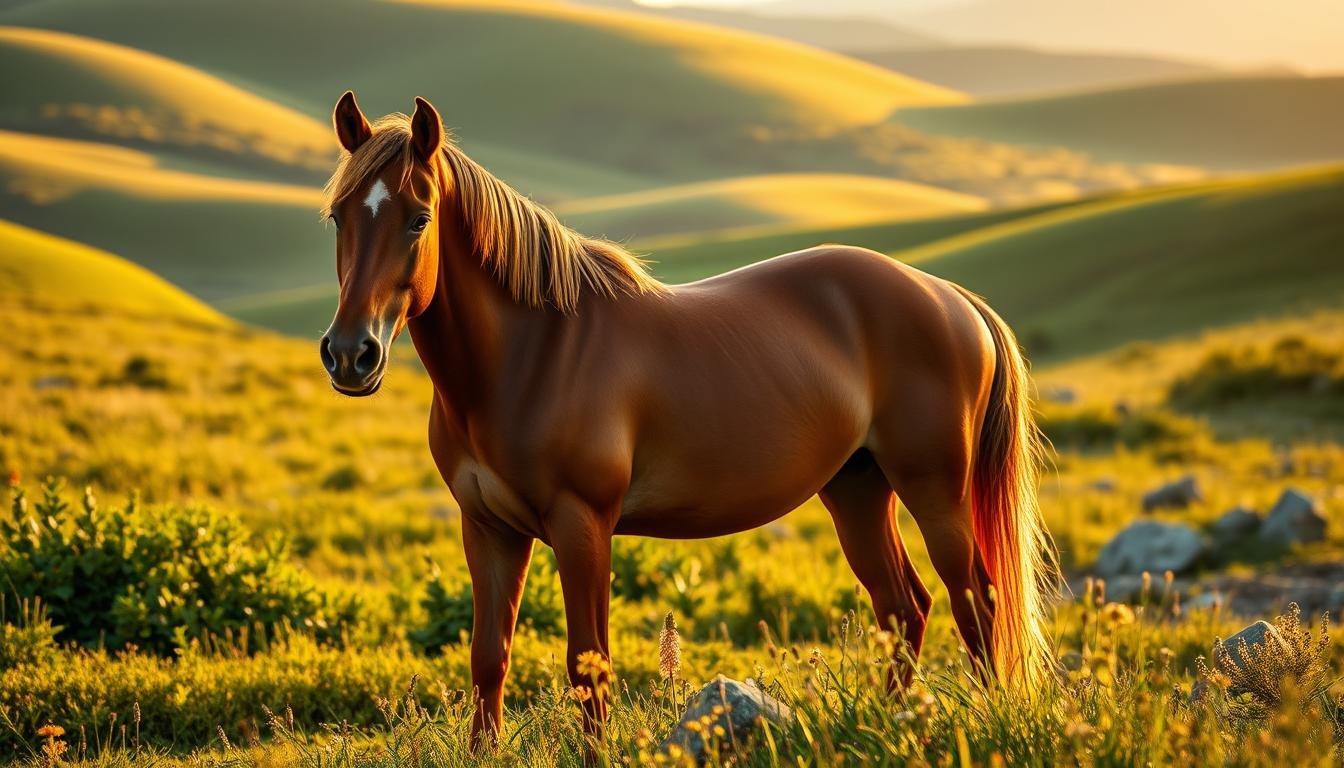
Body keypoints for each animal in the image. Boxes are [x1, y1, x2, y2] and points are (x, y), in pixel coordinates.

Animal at [318, 91, 1054, 746]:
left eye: (418, 218)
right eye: (338, 218)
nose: (351, 355)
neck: (531, 355)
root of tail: (949, 296)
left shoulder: (583, 525)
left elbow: (588, 667)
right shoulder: (489, 529)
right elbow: (487, 660)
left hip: (935, 490)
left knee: (976, 601)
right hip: (857, 489)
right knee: (904, 607)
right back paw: (893, 725)